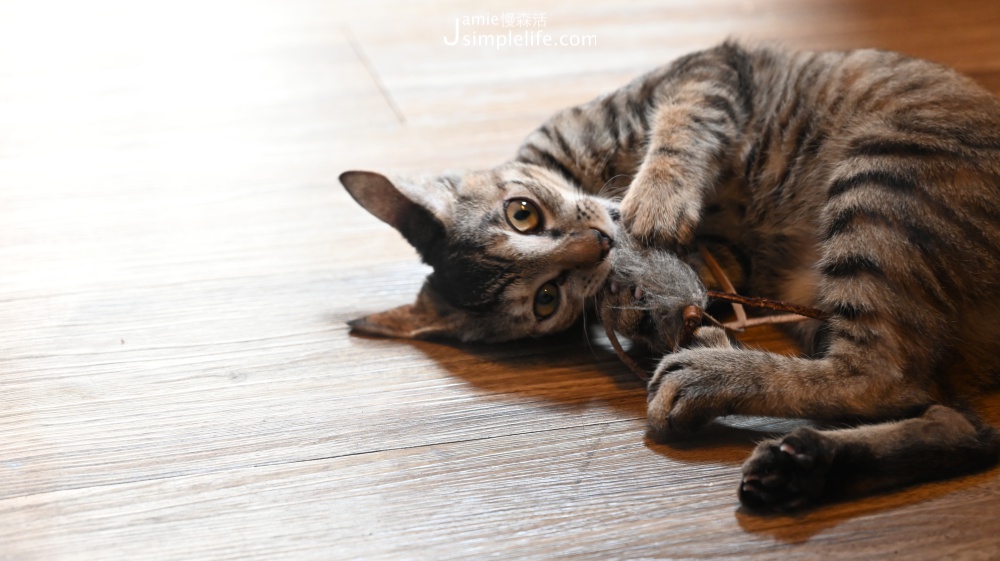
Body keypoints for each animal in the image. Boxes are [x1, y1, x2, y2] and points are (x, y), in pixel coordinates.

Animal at [340, 41, 1000, 510]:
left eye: (521, 213)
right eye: (546, 299)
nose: (597, 245)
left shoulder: (704, 72)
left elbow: (682, 124)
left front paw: (655, 203)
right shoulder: (719, 265)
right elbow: (680, 290)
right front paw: (658, 303)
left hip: (882, 172)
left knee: (896, 382)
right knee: (924, 403)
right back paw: (786, 452)